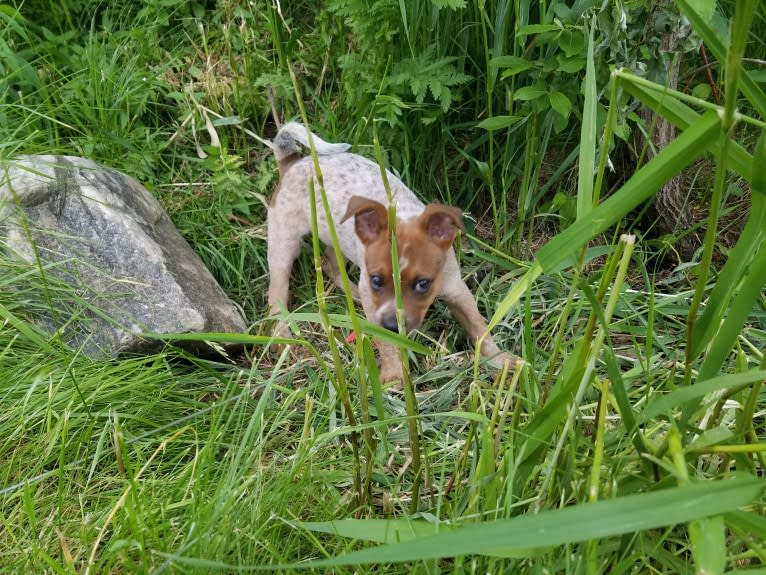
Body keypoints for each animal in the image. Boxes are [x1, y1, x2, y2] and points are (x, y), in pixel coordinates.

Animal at [268, 122, 512, 382]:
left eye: (423, 284)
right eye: (377, 280)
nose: (393, 326)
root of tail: (292, 163)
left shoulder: (457, 290)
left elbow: (479, 327)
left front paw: (502, 360)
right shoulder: (375, 303)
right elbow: (385, 342)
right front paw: (393, 375)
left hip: (338, 239)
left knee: (328, 263)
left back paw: (353, 293)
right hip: (283, 245)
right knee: (277, 293)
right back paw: (282, 337)